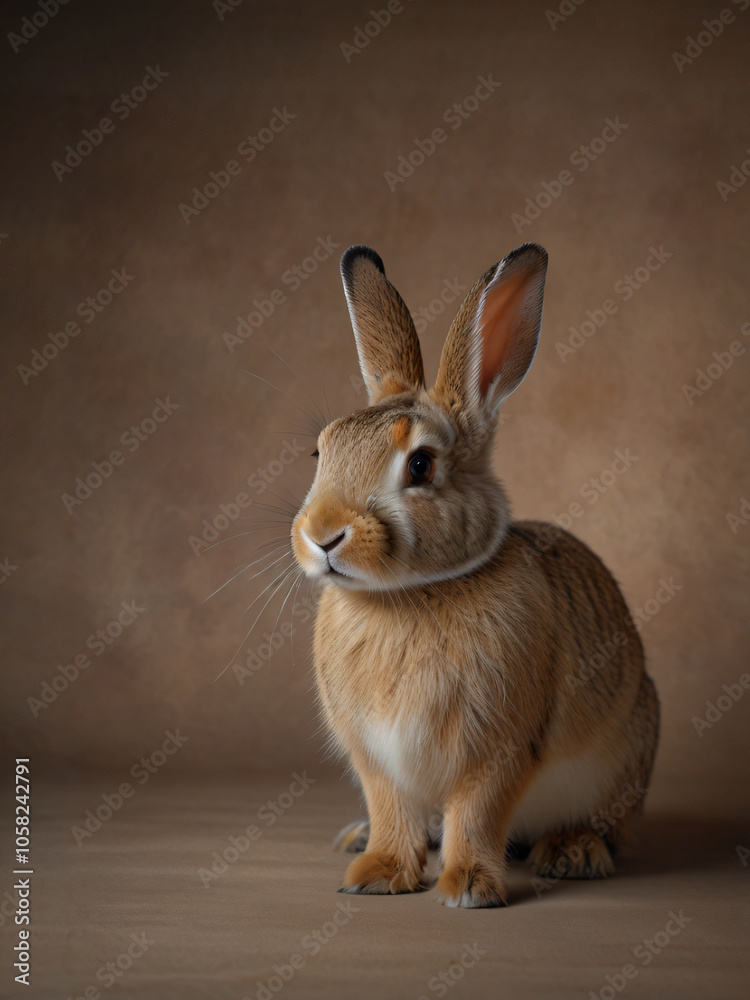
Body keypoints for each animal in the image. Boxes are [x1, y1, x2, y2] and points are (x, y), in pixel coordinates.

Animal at [291, 242, 659, 907]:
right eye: (320, 451)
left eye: (420, 464)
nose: (322, 535)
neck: (409, 595)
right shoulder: (377, 758)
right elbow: (392, 810)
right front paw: (377, 874)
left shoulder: (500, 747)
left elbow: (479, 811)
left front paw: (468, 888)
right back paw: (358, 841)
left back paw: (572, 852)